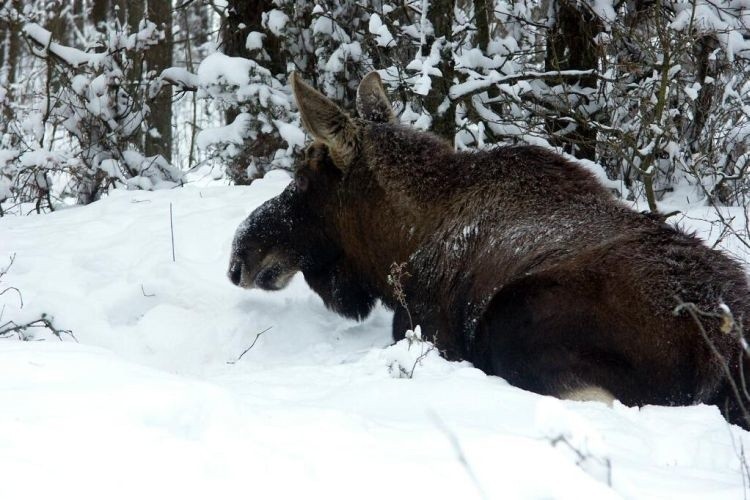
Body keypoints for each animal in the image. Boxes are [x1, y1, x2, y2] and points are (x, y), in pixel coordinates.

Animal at [229, 70, 750, 428]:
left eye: (303, 177)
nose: (239, 255)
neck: (401, 241)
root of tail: (723, 350)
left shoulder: (423, 329)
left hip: (517, 320)